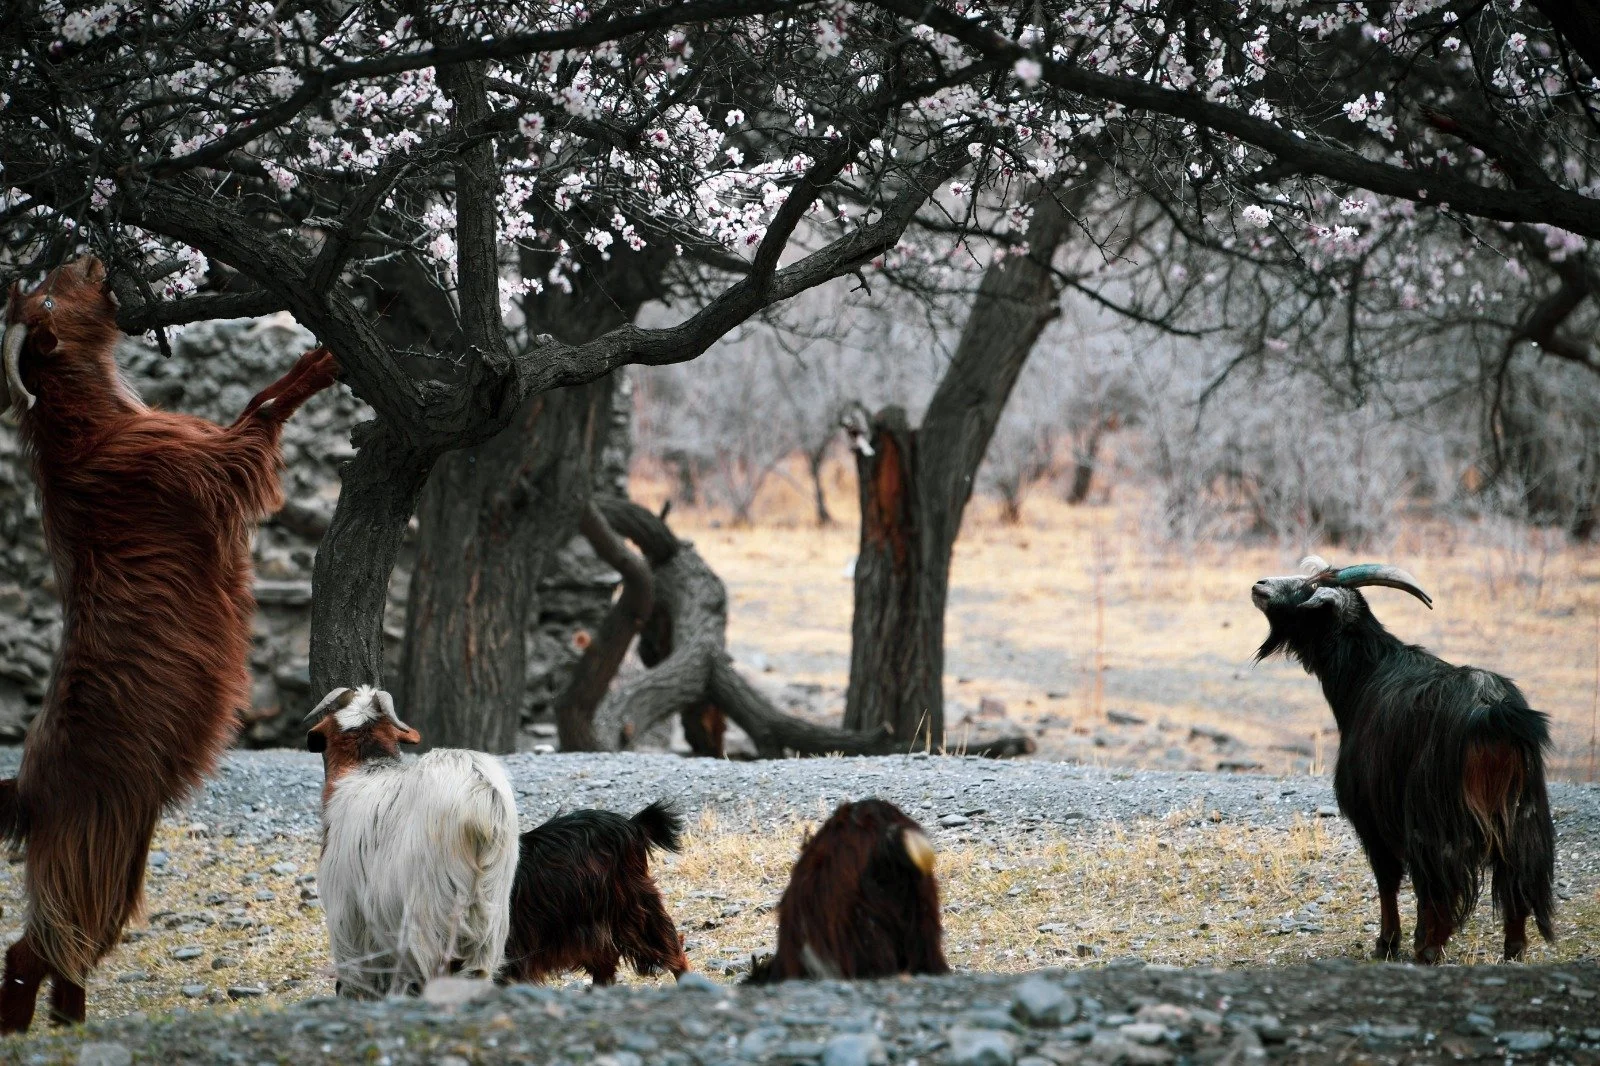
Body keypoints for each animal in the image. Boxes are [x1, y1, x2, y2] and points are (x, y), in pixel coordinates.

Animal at [0, 257, 337, 1031]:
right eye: (48, 300)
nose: (89, 254)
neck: (88, 430)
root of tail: (27, 786)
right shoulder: (201, 462)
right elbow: (260, 410)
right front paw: (325, 361)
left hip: (120, 849)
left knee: (64, 949)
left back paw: (70, 1020)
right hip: (96, 846)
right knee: (36, 945)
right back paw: (33, 1028)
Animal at [308, 686, 520, 998]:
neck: (366, 768)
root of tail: (480, 796)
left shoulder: (347, 911)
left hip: (431, 909)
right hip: (491, 907)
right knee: (478, 970)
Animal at [1252, 556, 1556, 963]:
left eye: (1310, 588)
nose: (1260, 586)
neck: (1366, 674)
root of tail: (1490, 712)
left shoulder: (1371, 814)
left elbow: (1388, 879)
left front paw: (1388, 942)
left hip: (1435, 812)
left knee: (1440, 878)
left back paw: (1428, 949)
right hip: (1524, 811)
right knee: (1519, 871)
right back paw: (1513, 948)